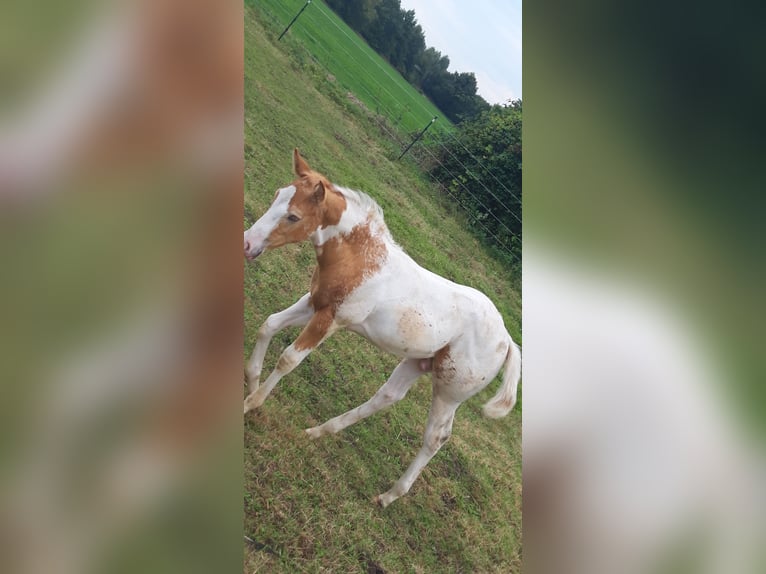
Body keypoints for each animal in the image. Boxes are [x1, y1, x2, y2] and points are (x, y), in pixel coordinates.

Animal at [243, 149, 520, 507]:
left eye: (293, 216)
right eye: (276, 194)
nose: (247, 244)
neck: (360, 259)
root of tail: (507, 340)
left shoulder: (332, 319)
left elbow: (289, 358)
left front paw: (251, 404)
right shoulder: (315, 304)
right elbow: (269, 324)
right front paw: (251, 381)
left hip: (450, 391)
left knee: (436, 437)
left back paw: (388, 496)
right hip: (419, 362)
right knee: (387, 396)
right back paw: (318, 432)